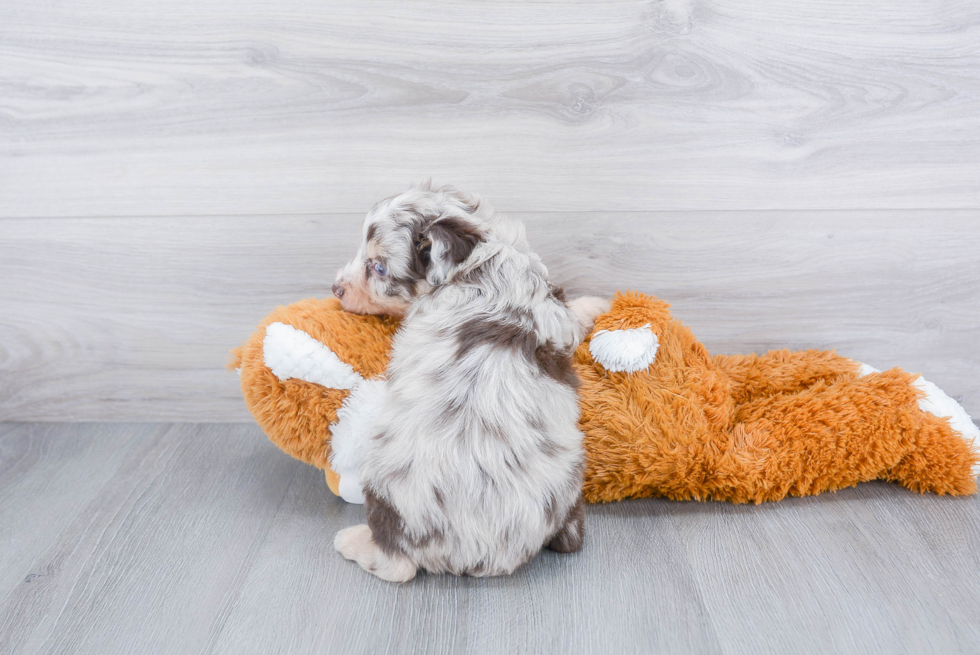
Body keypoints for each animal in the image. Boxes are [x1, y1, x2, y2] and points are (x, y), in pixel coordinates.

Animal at [334, 182, 608, 580]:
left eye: (379, 268)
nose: (335, 288)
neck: (480, 257)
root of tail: (469, 552)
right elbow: (573, 312)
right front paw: (597, 304)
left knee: (396, 566)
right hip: (570, 476)